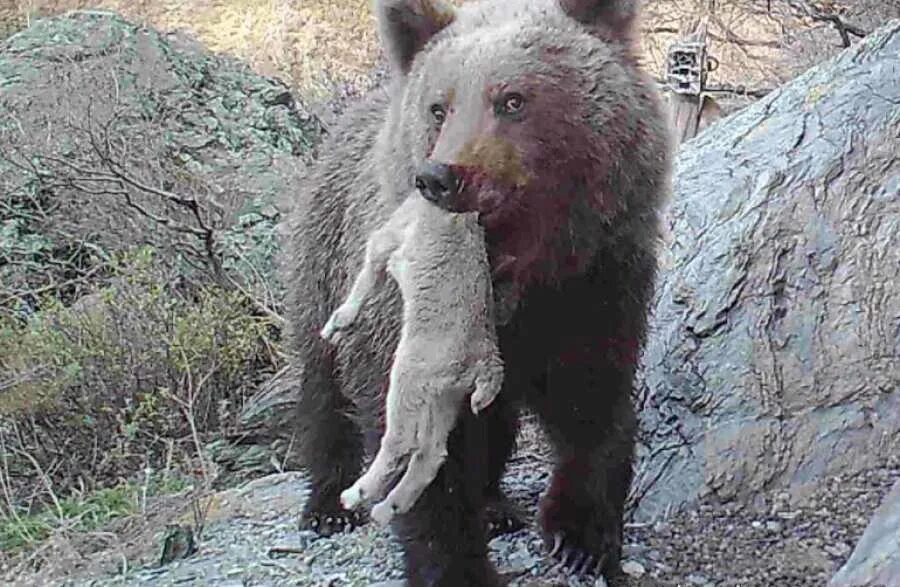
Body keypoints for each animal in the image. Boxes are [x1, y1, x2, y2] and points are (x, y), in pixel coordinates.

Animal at [278, 0, 672, 584]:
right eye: (439, 107)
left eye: (512, 99)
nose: (441, 176)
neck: (516, 273)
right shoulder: (404, 327)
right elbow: (420, 446)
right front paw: (454, 562)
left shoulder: (595, 283)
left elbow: (592, 401)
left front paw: (581, 536)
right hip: (322, 259)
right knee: (323, 384)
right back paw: (328, 504)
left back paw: (495, 504)